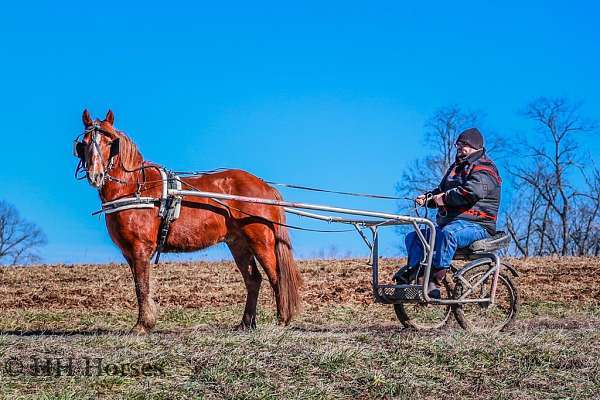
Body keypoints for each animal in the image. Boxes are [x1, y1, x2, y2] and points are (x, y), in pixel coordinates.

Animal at [76, 109, 300, 334]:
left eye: (110, 142)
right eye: (83, 143)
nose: (95, 175)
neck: (135, 188)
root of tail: (265, 187)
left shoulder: (140, 248)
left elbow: (142, 286)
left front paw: (142, 325)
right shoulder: (128, 252)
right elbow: (140, 286)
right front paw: (146, 322)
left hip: (261, 241)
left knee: (276, 276)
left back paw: (282, 320)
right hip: (238, 243)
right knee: (253, 280)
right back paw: (246, 322)